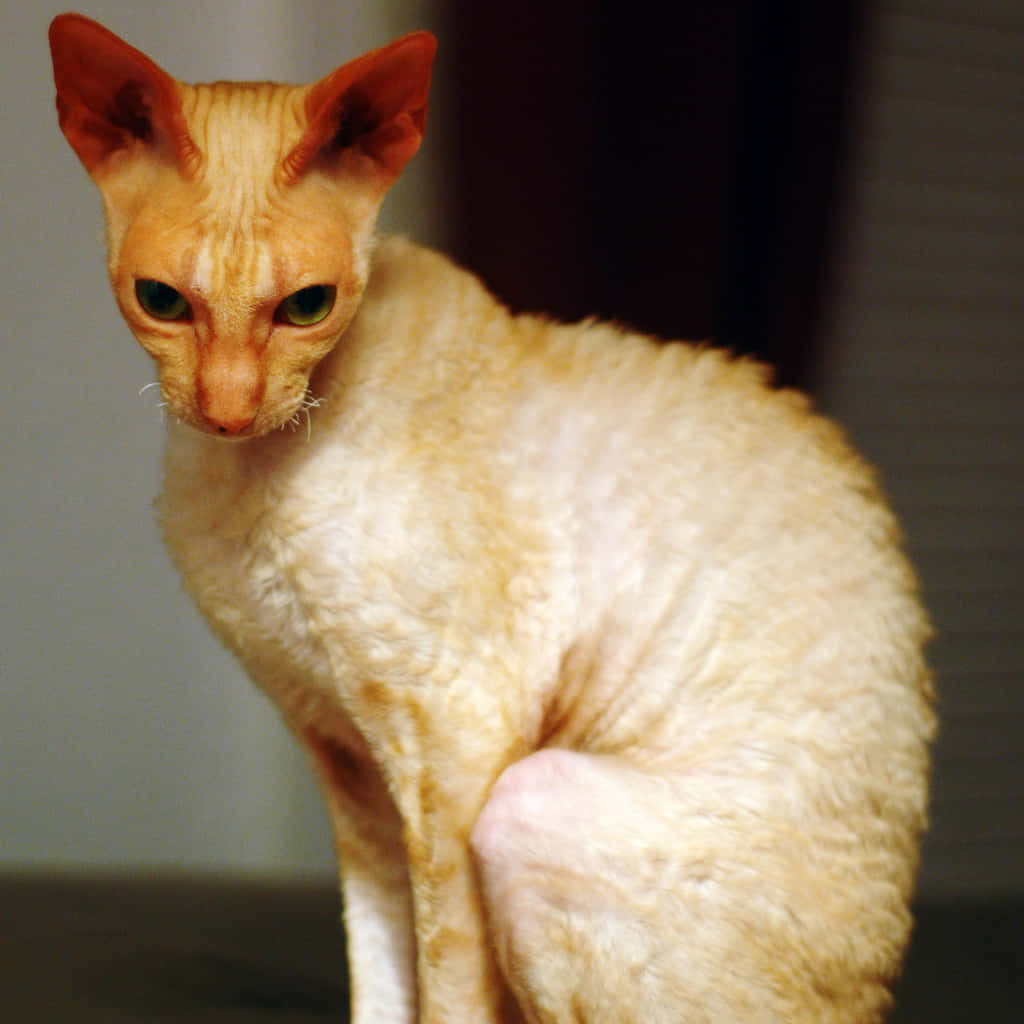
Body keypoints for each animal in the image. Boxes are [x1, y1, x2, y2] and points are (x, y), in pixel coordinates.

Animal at [51, 9, 937, 1024]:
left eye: (307, 307)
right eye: (161, 301)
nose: (228, 407)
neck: (245, 477)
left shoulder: (459, 734)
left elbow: (450, 980)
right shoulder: (348, 755)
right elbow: (382, 960)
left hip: (530, 804)